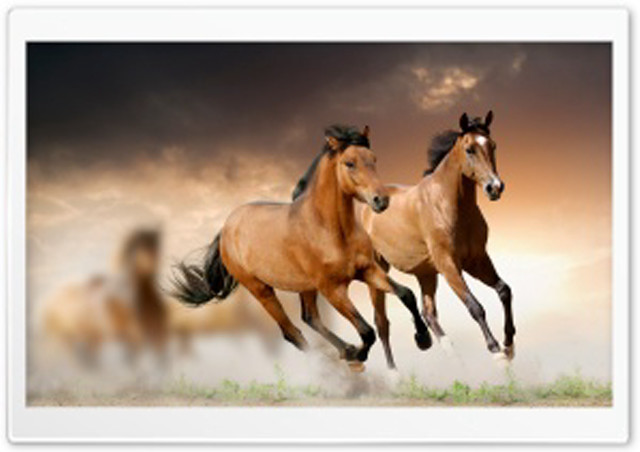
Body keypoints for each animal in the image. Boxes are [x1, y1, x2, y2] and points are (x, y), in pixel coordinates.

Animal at [40, 228, 169, 366]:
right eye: (140, 245)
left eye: (156, 243)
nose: (153, 263)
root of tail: (50, 302)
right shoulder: (133, 341)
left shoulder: (156, 339)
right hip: (69, 340)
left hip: (90, 340)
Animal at [170, 125, 431, 369]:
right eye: (349, 163)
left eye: (373, 159)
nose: (381, 200)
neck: (331, 229)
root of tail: (226, 227)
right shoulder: (332, 289)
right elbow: (367, 331)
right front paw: (358, 355)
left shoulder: (367, 270)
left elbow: (406, 295)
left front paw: (423, 339)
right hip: (261, 289)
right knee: (292, 332)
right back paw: (338, 362)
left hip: (305, 286)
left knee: (309, 318)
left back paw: (345, 351)